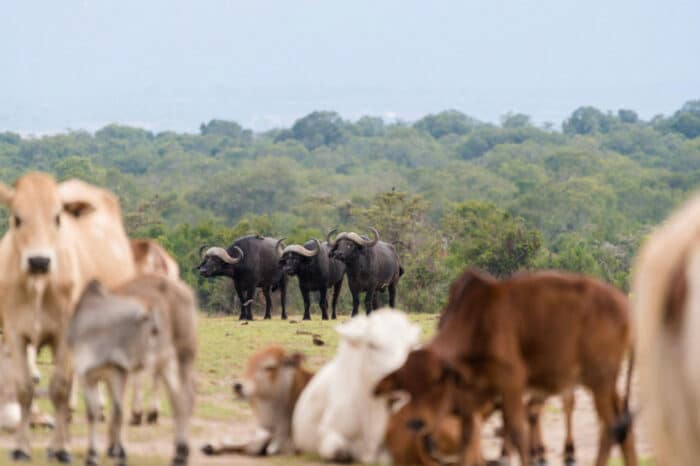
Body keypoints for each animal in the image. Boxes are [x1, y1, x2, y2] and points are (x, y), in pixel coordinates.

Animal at [0, 172, 135, 462]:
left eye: (57, 218)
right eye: (17, 218)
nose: (39, 261)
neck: (38, 284)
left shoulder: (64, 335)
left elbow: (60, 389)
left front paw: (62, 449)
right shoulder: (16, 335)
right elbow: (25, 389)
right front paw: (22, 448)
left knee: (114, 385)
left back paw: (115, 445)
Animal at [68, 276, 197, 466]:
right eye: (153, 330)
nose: (166, 348)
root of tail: (183, 289)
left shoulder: (118, 372)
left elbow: (117, 411)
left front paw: (115, 451)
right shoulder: (91, 375)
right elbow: (102, 411)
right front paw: (103, 451)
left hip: (182, 356)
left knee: (184, 397)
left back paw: (181, 451)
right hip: (171, 364)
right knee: (180, 399)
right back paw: (180, 453)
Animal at [374, 270, 636, 466]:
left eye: (436, 381)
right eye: (405, 385)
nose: (415, 424)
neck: (475, 322)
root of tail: (624, 306)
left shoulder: (511, 381)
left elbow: (518, 431)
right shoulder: (471, 395)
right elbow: (468, 439)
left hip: (599, 379)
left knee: (610, 426)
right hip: (605, 382)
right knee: (622, 425)